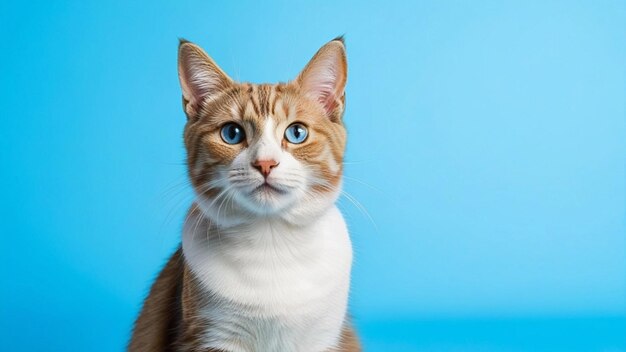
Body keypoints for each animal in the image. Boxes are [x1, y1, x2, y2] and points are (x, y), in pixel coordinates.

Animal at [128, 37, 356, 352]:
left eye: (296, 133)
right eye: (232, 133)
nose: (265, 163)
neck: (272, 241)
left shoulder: (321, 336)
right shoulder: (208, 333)